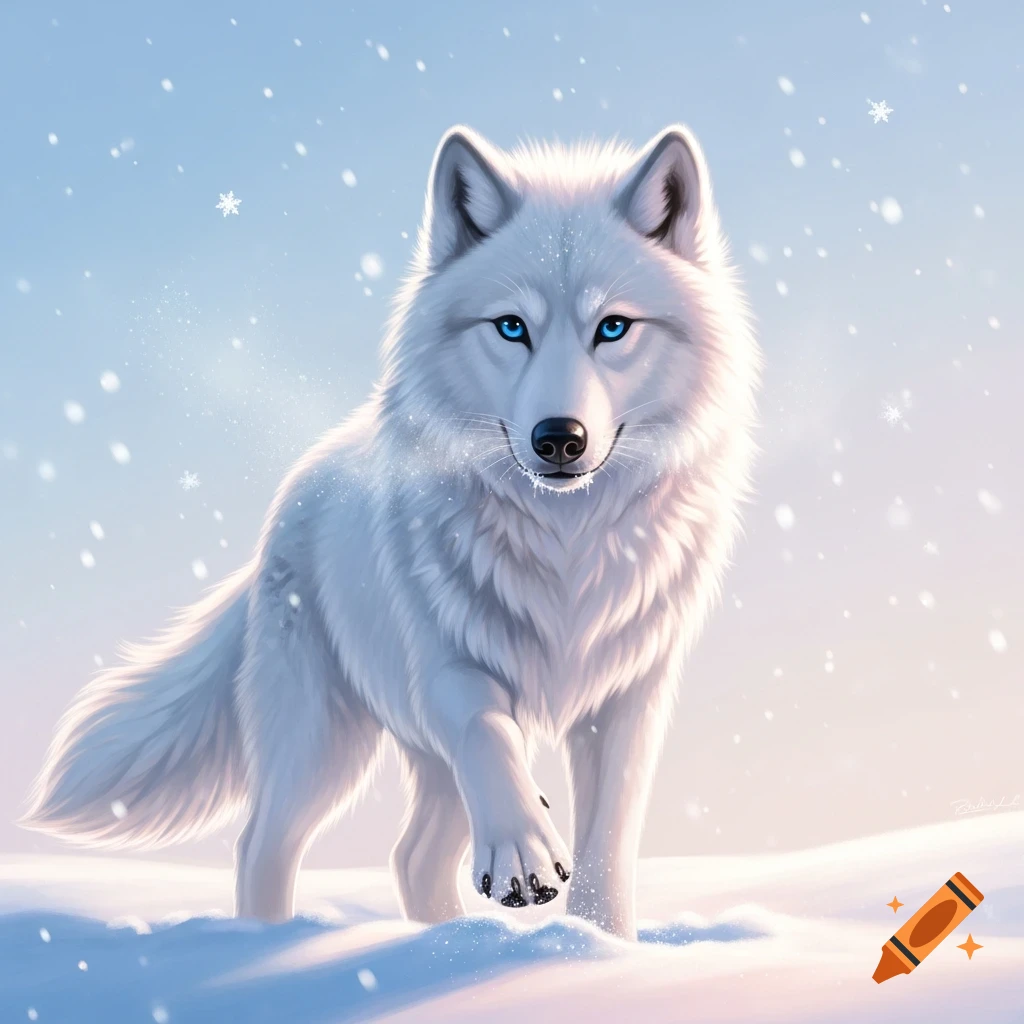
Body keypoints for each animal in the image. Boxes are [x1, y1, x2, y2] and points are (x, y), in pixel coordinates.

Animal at [23, 123, 759, 939]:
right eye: (512, 328)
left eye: (614, 328)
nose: (559, 439)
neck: (565, 538)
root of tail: (293, 494)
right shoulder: (447, 667)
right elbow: (490, 735)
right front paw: (523, 850)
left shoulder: (629, 698)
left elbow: (608, 846)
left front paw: (601, 945)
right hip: (321, 743)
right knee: (262, 844)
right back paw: (270, 943)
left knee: (410, 857)